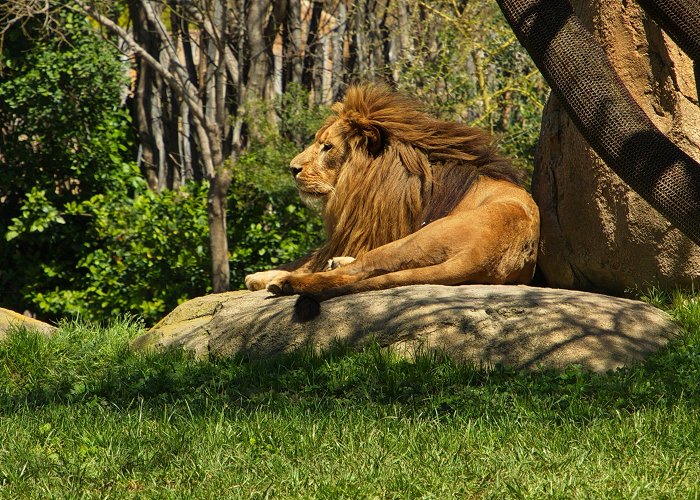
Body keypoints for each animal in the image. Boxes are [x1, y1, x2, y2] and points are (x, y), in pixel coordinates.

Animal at [246, 83, 540, 316]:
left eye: (327, 147)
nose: (292, 168)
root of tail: (481, 255)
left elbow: (311, 261)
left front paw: (271, 276)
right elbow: (306, 259)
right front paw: (261, 275)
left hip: (413, 240)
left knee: (358, 270)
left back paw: (285, 283)